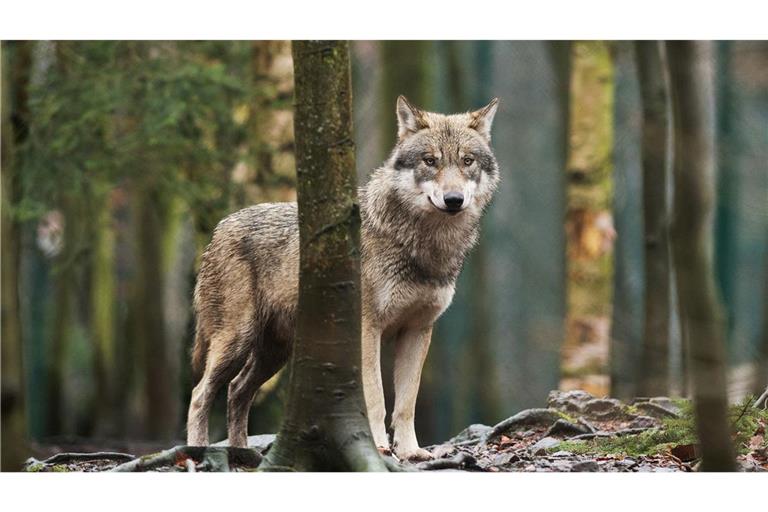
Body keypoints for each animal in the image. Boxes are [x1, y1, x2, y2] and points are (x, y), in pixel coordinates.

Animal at [186, 96, 500, 460]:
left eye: (467, 161)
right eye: (430, 160)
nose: (453, 200)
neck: (423, 246)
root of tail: (219, 228)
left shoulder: (418, 331)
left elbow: (406, 403)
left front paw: (411, 451)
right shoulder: (367, 329)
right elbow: (376, 399)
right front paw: (379, 448)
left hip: (274, 353)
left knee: (237, 391)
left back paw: (241, 453)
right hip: (236, 342)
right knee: (200, 394)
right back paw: (197, 452)